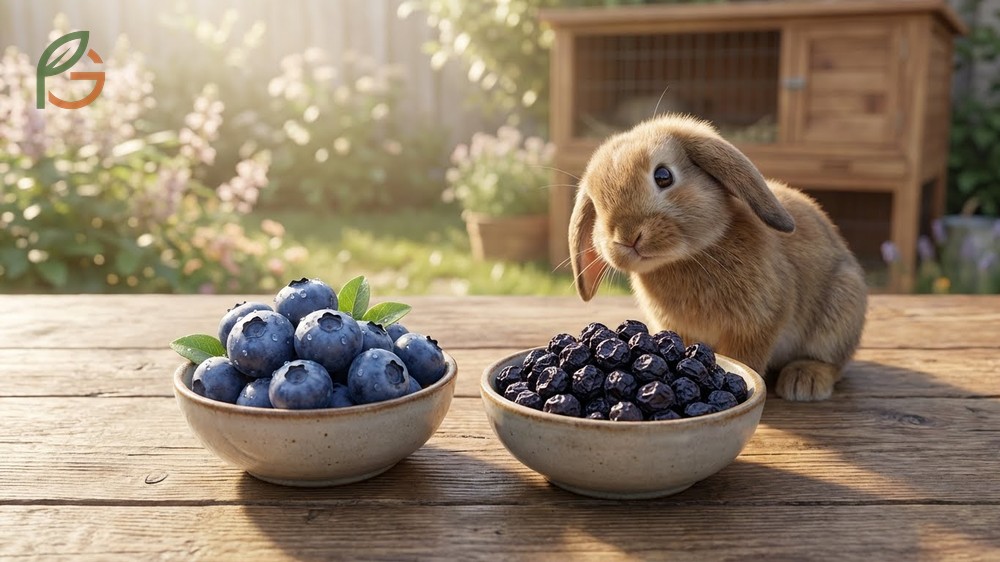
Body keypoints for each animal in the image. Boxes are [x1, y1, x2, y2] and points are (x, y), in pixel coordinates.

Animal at [569, 114, 867, 401]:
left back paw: (804, 380)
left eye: (663, 176)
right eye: (596, 206)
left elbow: (745, 358)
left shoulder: (757, 325)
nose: (626, 236)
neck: (687, 257)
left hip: (839, 313)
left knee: (832, 361)